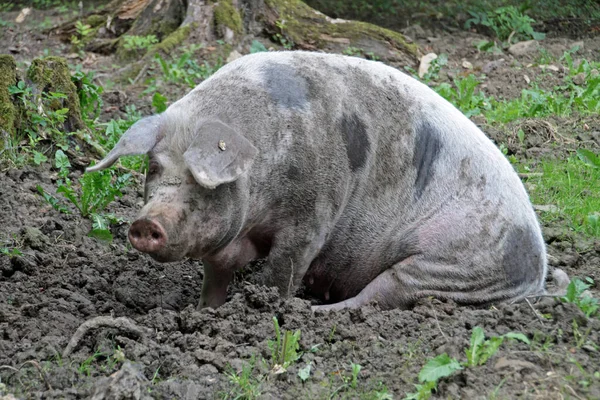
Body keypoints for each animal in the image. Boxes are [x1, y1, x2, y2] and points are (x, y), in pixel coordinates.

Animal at [85, 50, 548, 312]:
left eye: (201, 181)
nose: (146, 223)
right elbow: (215, 274)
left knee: (380, 296)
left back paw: (317, 313)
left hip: (443, 267)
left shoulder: (315, 211)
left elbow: (283, 270)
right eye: (154, 168)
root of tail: (537, 276)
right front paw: (201, 314)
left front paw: (258, 310)